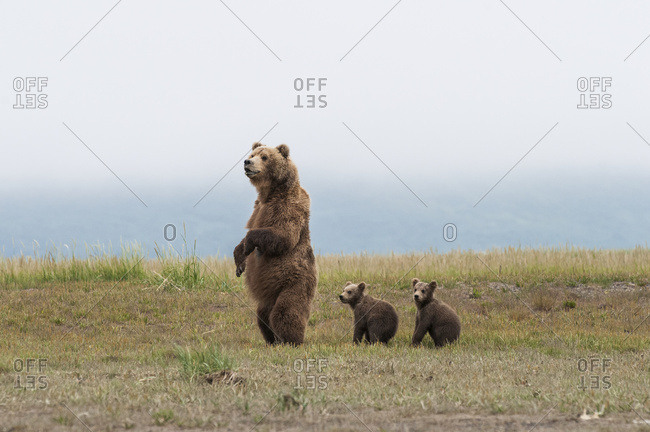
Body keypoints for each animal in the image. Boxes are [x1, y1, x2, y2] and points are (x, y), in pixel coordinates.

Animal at [233, 142, 317, 346]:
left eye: (264, 157)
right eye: (252, 154)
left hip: (294, 282)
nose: (247, 162)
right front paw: (240, 261)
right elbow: (247, 232)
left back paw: (290, 340)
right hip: (269, 292)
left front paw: (249, 245)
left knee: (285, 312)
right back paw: (272, 340)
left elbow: (282, 236)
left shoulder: (288, 207)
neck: (270, 194)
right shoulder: (257, 208)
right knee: (262, 315)